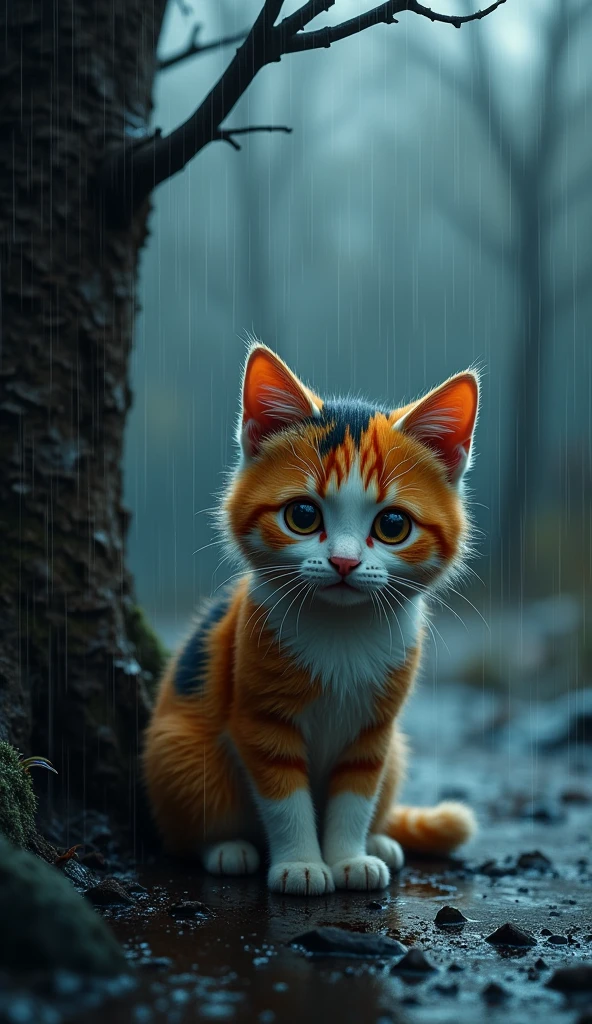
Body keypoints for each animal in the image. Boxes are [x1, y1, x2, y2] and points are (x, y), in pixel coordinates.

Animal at [144, 339, 479, 892]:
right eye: (302, 516)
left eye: (392, 525)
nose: (344, 562)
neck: (340, 631)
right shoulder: (259, 717)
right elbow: (284, 798)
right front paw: (301, 864)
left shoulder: (375, 732)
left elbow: (355, 795)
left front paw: (348, 858)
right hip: (178, 747)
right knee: (183, 833)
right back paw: (227, 849)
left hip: (396, 751)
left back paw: (380, 841)